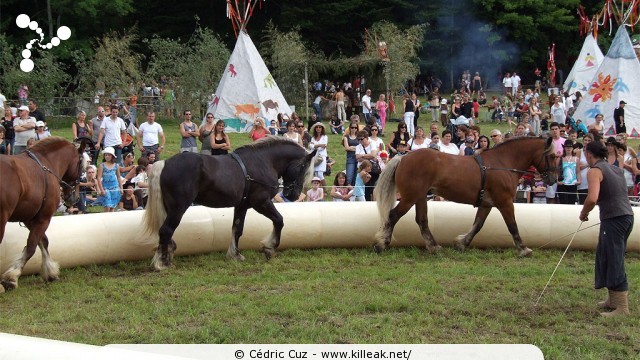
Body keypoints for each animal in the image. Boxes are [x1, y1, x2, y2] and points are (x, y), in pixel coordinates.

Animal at [0, 136, 87, 292]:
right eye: (82, 168)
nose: (75, 198)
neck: (47, 163)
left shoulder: (31, 218)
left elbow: (43, 241)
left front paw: (50, 271)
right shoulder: (43, 218)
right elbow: (31, 246)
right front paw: (12, 277)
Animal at [144, 137, 316, 270]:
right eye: (303, 168)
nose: (292, 195)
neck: (263, 162)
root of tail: (164, 163)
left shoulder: (242, 206)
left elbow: (237, 229)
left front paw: (235, 254)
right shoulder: (261, 202)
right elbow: (279, 220)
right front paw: (269, 247)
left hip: (169, 208)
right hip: (178, 208)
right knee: (166, 230)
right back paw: (162, 263)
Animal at [372, 136, 556, 258]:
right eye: (553, 156)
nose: (554, 179)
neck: (503, 164)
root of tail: (403, 157)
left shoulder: (486, 204)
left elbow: (478, 225)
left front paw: (462, 243)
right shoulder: (505, 203)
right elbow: (513, 226)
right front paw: (523, 249)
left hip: (420, 197)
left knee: (422, 221)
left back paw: (434, 247)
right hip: (411, 197)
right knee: (393, 215)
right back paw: (382, 244)